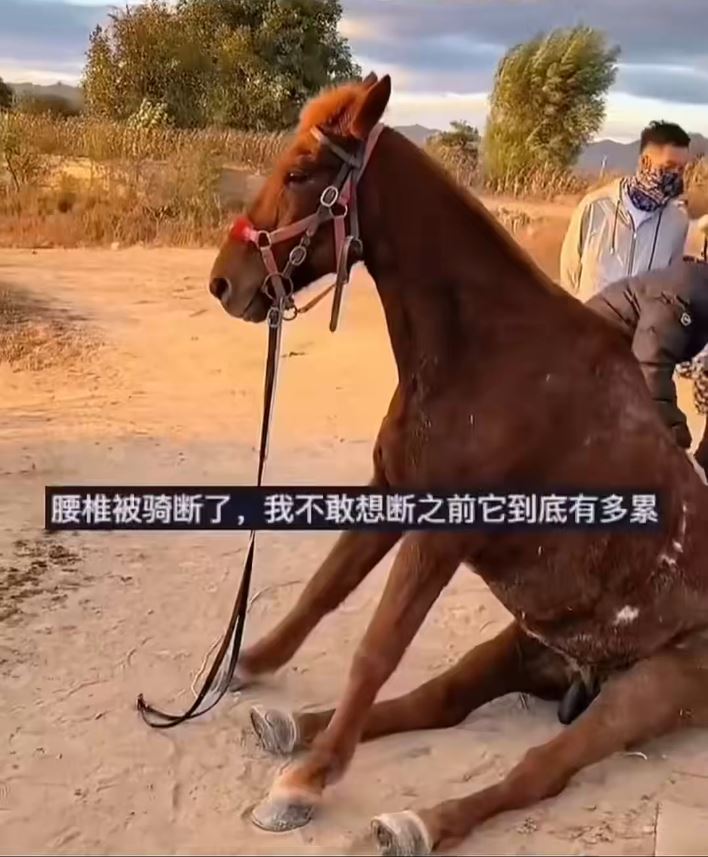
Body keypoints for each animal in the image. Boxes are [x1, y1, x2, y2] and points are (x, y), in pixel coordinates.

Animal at [208, 73, 708, 855]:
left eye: (299, 173)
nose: (224, 283)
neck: (484, 354)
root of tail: (586, 677)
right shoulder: (392, 490)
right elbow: (324, 591)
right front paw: (247, 667)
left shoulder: (442, 533)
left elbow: (376, 649)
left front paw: (307, 786)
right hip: (522, 649)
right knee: (435, 699)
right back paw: (295, 730)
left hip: (654, 690)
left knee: (539, 772)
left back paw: (409, 818)